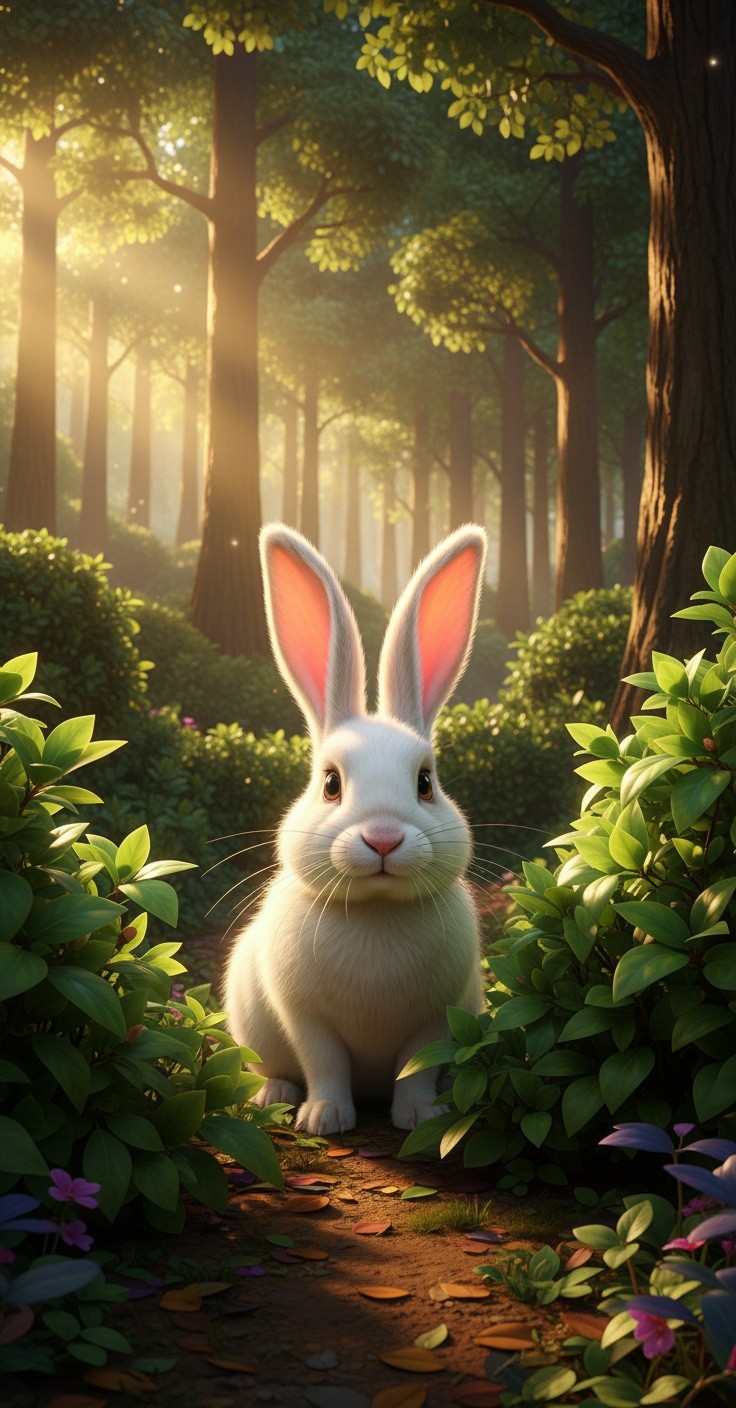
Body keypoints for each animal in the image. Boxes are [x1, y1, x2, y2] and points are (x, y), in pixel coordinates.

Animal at [224, 521, 487, 1136]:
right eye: (330, 784)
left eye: (425, 782)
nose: (383, 839)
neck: (376, 910)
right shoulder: (304, 1017)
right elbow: (324, 1063)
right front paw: (324, 1118)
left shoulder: (435, 1018)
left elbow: (417, 1067)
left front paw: (420, 1116)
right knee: (274, 1066)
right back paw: (273, 1096)